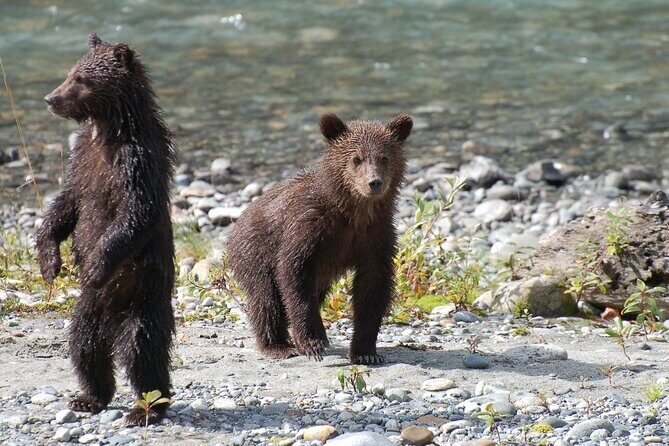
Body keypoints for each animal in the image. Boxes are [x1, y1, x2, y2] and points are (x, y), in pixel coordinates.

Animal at [36, 33, 176, 425]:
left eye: (82, 79)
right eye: (71, 72)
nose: (51, 98)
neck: (108, 130)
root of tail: (113, 318)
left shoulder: (136, 161)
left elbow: (135, 213)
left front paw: (96, 266)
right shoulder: (83, 158)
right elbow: (66, 204)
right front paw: (49, 262)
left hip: (143, 296)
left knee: (142, 350)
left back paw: (146, 408)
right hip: (89, 310)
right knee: (85, 346)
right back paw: (88, 397)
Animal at [227, 113, 412, 364]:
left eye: (384, 158)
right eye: (356, 159)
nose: (374, 182)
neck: (353, 213)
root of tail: (239, 220)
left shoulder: (376, 237)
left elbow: (372, 287)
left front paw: (366, 351)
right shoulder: (308, 227)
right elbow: (294, 275)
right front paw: (313, 342)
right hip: (255, 250)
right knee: (267, 298)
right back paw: (277, 345)